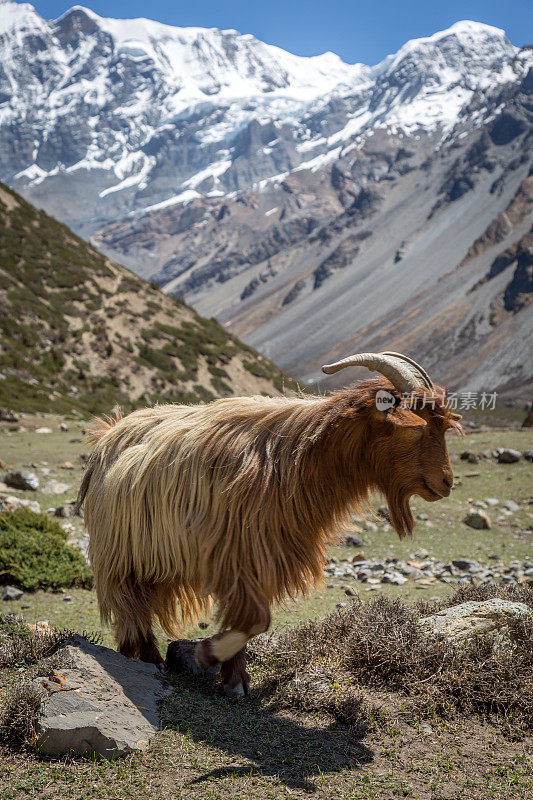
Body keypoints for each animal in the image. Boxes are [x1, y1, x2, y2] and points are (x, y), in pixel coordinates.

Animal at [76, 350, 462, 692]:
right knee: (128, 604)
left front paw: (235, 679)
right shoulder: (237, 558)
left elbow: (249, 621)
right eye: (416, 430)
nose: (447, 482)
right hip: (120, 553)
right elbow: (257, 620)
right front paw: (208, 655)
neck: (298, 460)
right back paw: (147, 658)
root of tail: (107, 434)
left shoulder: (262, 560)